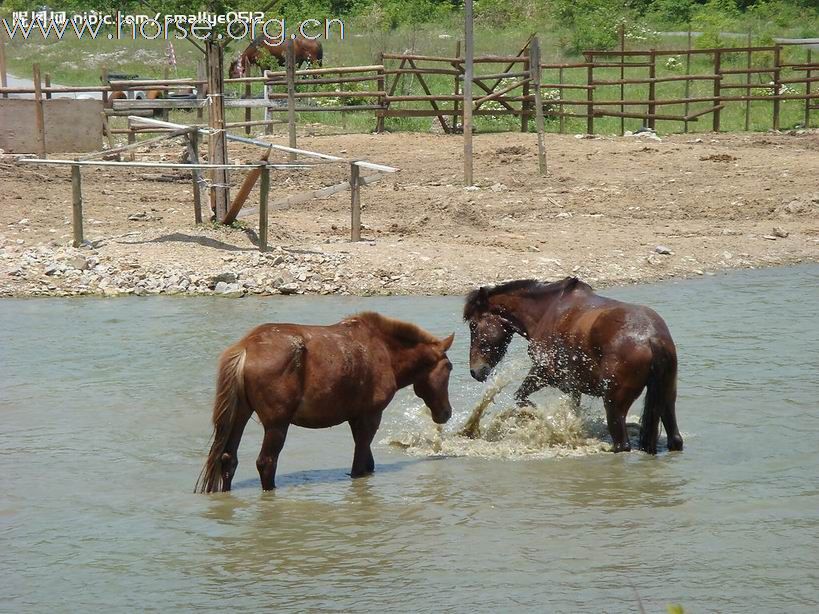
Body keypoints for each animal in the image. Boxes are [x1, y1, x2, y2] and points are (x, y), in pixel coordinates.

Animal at [197, 316, 454, 494]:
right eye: (449, 367)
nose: (446, 412)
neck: (389, 355)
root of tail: (245, 349)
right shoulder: (371, 413)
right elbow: (359, 465)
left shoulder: (355, 416)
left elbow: (367, 462)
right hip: (277, 423)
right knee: (266, 462)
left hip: (240, 414)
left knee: (228, 459)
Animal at [464, 280, 684, 458]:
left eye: (474, 325)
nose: (475, 371)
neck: (547, 310)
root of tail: (652, 338)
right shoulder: (573, 386)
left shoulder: (544, 373)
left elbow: (520, 397)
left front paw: (535, 415)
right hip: (666, 398)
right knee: (675, 438)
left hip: (614, 404)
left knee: (622, 444)